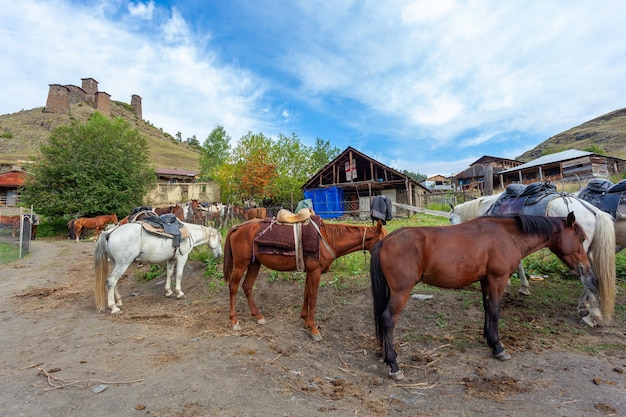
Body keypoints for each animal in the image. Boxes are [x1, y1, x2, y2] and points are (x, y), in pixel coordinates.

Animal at [94, 221, 223, 312]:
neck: (189, 234)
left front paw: (168, 291)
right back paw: (114, 308)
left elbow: (170, 274)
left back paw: (119, 302)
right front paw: (179, 293)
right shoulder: (182, 257)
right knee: (111, 281)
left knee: (114, 281)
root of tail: (109, 233)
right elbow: (179, 275)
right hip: (123, 264)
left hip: (116, 263)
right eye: (220, 240)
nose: (220, 255)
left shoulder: (171, 259)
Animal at [219, 216, 386, 340]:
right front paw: (313, 329)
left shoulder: (310, 272)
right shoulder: (315, 272)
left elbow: (306, 294)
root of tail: (238, 227)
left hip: (254, 263)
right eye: (383, 239)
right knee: (233, 287)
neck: (326, 239)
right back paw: (234, 320)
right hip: (241, 264)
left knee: (247, 286)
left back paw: (258, 316)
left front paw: (305, 320)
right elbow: (313, 298)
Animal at [370, 213, 600, 378]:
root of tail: (386, 241)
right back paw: (394, 364)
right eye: (580, 238)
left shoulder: (485, 280)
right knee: (388, 320)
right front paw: (498, 347)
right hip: (401, 292)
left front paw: (490, 340)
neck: (507, 235)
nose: (586, 270)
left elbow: (487, 309)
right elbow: (495, 311)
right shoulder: (498, 279)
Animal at [448, 193, 616, 326]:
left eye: (450, 218)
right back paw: (584, 307)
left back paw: (591, 317)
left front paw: (516, 286)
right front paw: (521, 286)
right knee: (596, 278)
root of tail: (595, 211)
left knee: (589, 279)